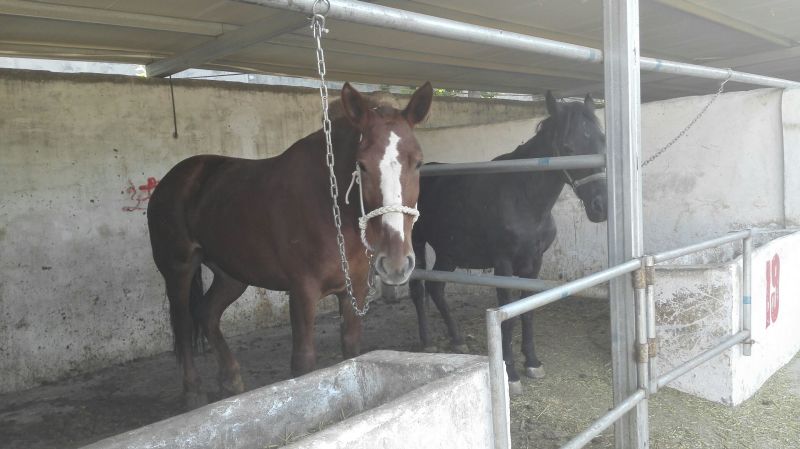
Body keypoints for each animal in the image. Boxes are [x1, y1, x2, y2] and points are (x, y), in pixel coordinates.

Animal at [147, 82, 433, 408]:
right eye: (362, 165)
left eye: (418, 162)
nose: (396, 263)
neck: (331, 209)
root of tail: (176, 178)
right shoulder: (302, 292)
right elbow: (303, 362)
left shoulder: (355, 290)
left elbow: (351, 348)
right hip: (178, 269)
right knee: (183, 324)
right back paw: (193, 391)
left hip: (231, 274)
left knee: (207, 313)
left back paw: (231, 379)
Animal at [409, 91, 607, 394]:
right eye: (568, 147)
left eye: (601, 140)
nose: (601, 206)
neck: (523, 197)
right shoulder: (503, 265)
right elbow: (509, 316)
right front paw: (511, 374)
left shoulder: (534, 263)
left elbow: (527, 311)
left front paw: (533, 363)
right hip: (417, 243)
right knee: (418, 289)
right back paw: (427, 341)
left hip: (448, 252)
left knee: (436, 288)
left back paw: (457, 339)